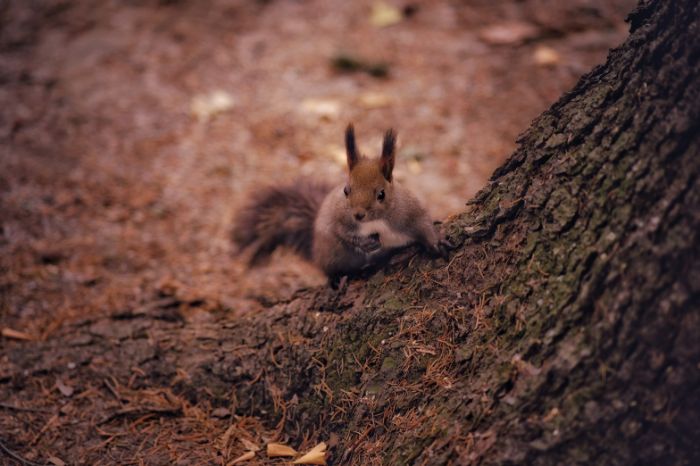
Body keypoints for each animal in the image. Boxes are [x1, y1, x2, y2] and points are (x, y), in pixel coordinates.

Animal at [234, 124, 454, 288]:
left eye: (381, 194)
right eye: (346, 190)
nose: (358, 215)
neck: (376, 221)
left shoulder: (409, 210)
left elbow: (423, 222)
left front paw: (436, 242)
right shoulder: (340, 217)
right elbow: (341, 231)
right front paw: (364, 243)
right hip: (330, 253)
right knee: (331, 268)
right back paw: (338, 277)